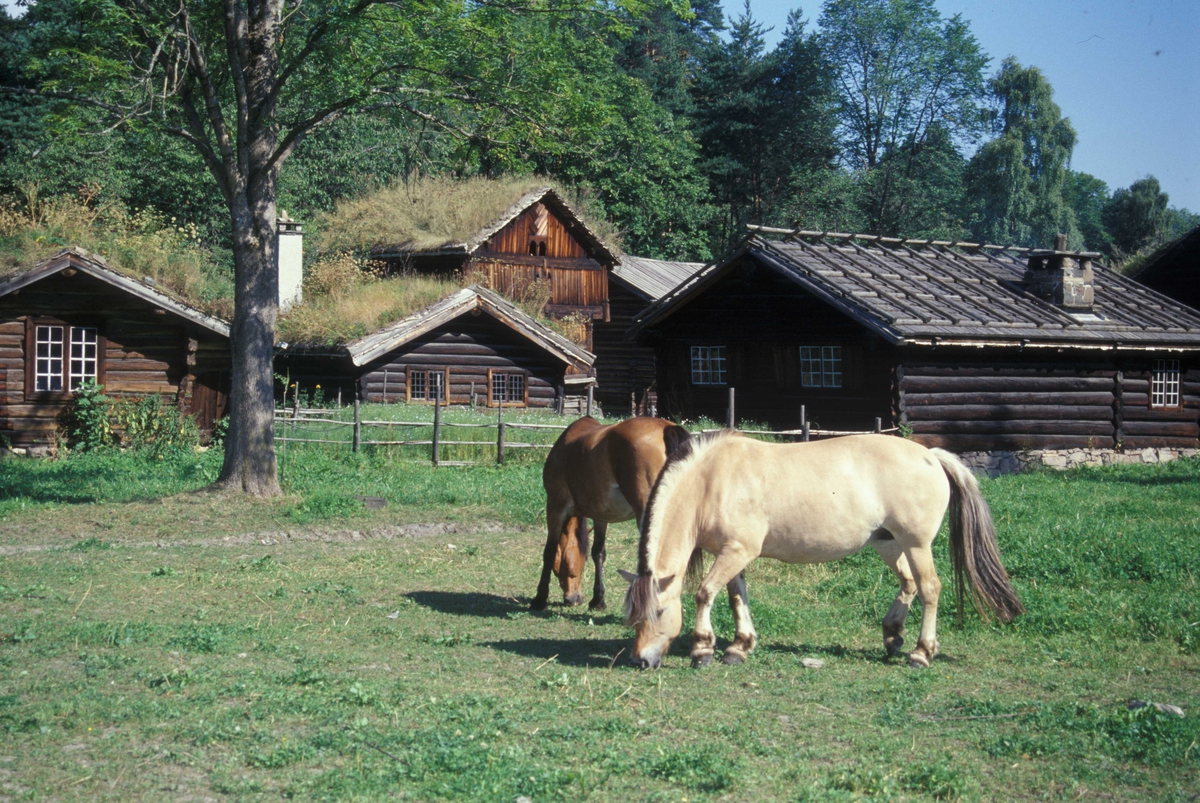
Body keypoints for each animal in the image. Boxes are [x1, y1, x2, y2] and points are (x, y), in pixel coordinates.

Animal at [530, 417, 691, 609]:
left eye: (568, 566)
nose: (574, 599)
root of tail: (666, 428)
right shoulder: (601, 515)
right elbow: (598, 552)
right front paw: (598, 599)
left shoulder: (555, 507)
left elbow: (549, 550)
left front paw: (539, 598)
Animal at [619, 432, 1022, 672]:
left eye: (659, 612)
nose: (641, 660)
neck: (711, 480)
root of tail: (931, 456)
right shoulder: (734, 553)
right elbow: (737, 597)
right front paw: (740, 646)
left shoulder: (736, 551)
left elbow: (705, 593)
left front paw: (702, 649)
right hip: (889, 542)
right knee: (909, 584)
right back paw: (892, 635)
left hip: (916, 544)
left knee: (929, 589)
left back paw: (921, 653)